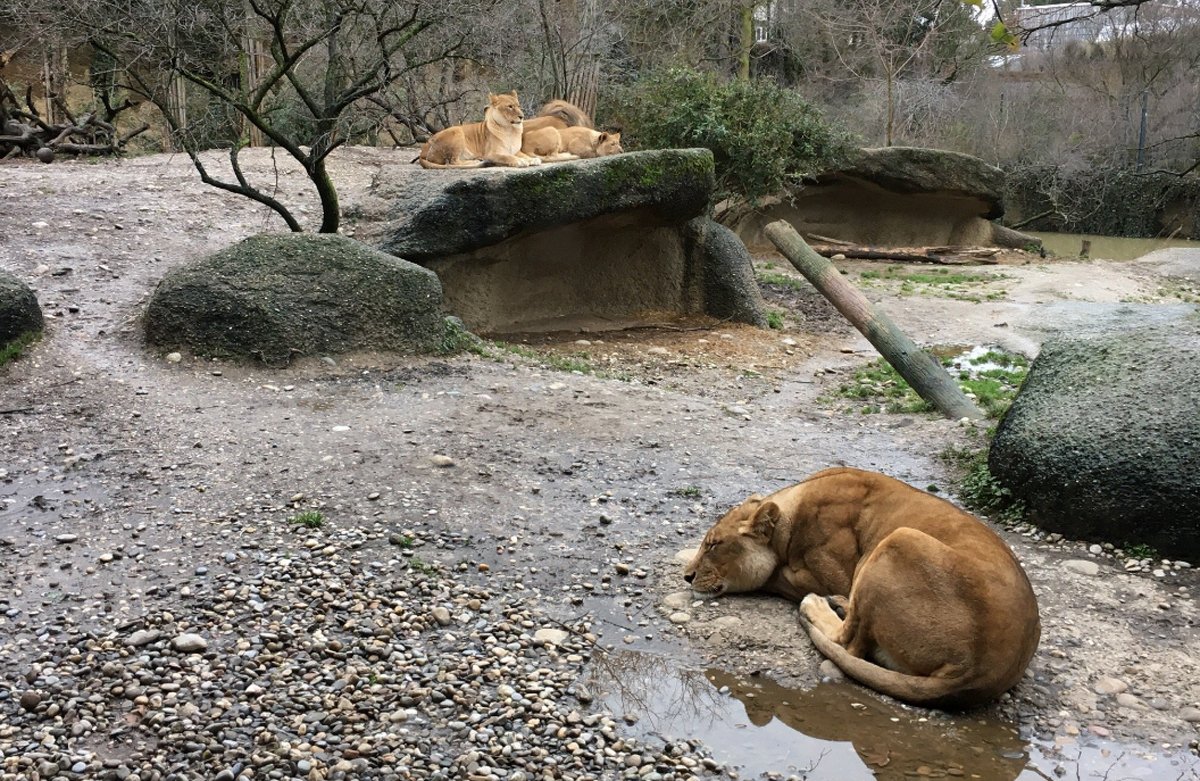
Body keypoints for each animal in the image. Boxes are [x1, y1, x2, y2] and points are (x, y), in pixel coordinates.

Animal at [684, 466, 1040, 709]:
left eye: (713, 544)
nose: (687, 576)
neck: (793, 511)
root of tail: (981, 673)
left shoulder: (830, 574)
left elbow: (776, 575)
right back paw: (839, 604)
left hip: (899, 540)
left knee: (850, 643)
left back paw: (817, 606)